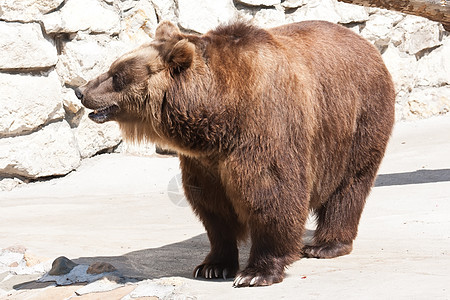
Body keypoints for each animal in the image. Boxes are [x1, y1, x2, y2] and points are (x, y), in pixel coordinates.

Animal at [75, 19, 396, 288]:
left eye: (117, 75)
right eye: (112, 67)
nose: (80, 90)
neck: (218, 115)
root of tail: (364, 42)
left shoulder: (264, 129)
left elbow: (272, 196)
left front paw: (255, 273)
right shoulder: (204, 163)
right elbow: (213, 208)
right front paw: (213, 265)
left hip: (358, 119)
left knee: (350, 185)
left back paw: (324, 245)